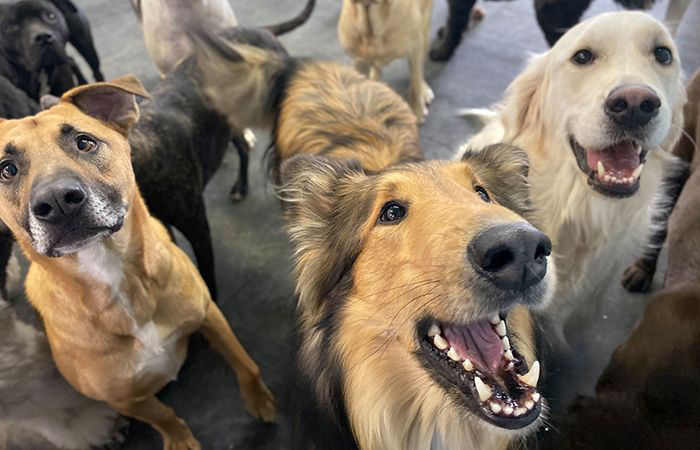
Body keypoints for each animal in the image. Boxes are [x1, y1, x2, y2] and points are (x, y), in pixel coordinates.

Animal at [0, 75, 274, 448]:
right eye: (6, 169)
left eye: (84, 143)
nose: (57, 201)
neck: (115, 275)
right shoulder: (122, 399)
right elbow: (163, 416)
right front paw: (180, 439)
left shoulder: (210, 315)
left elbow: (246, 365)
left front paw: (260, 401)